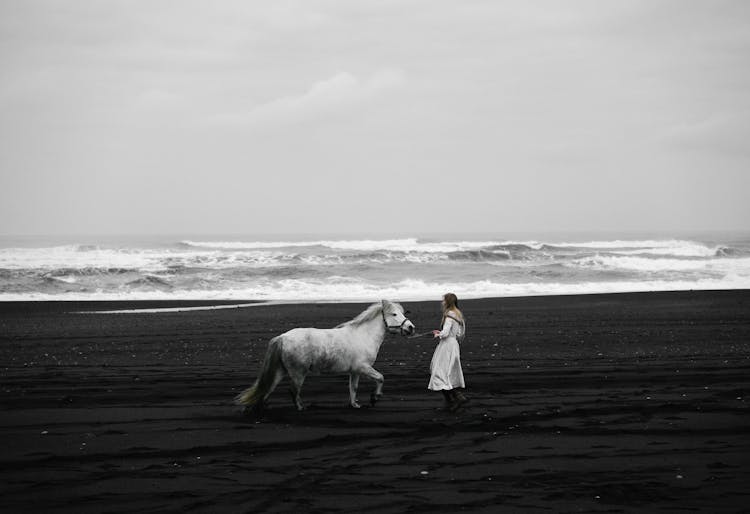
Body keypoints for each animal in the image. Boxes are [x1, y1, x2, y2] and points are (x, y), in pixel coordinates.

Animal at [235, 296, 418, 412]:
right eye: (394, 314)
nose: (411, 328)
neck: (363, 335)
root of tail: (282, 337)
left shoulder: (355, 371)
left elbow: (353, 388)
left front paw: (354, 405)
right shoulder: (363, 367)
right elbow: (381, 378)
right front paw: (374, 398)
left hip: (281, 371)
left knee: (268, 388)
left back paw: (260, 408)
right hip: (298, 373)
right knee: (293, 390)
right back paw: (300, 408)